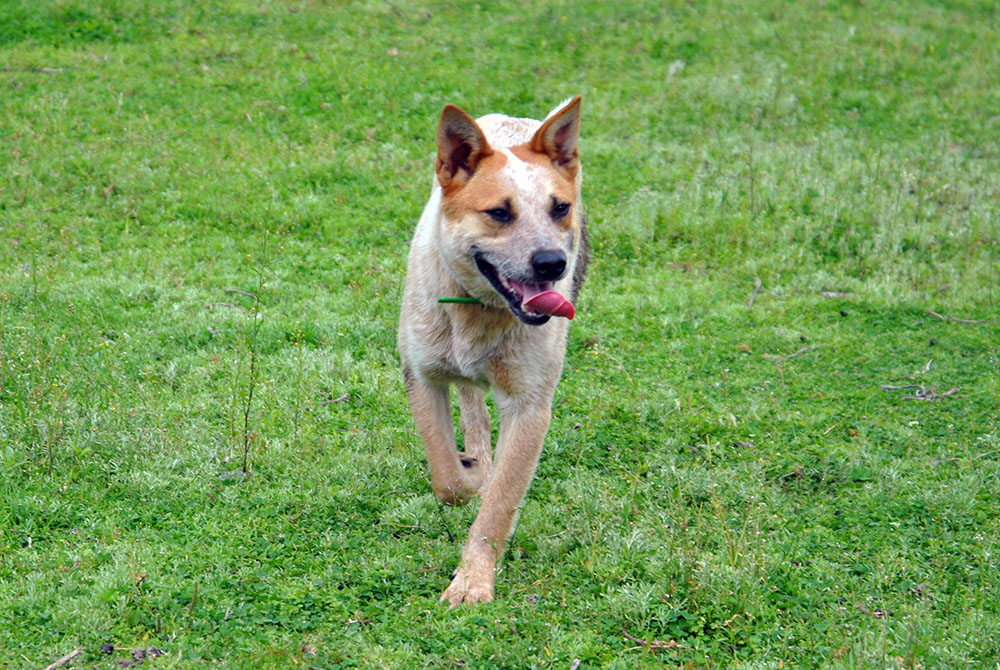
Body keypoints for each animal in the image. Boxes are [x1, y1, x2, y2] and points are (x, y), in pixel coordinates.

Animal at [396, 97, 584, 608]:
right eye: (499, 212)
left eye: (560, 208)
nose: (552, 263)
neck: (480, 309)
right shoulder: (422, 376)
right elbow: (447, 479)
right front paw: (470, 476)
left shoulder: (530, 406)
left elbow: (500, 504)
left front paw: (472, 581)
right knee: (471, 403)